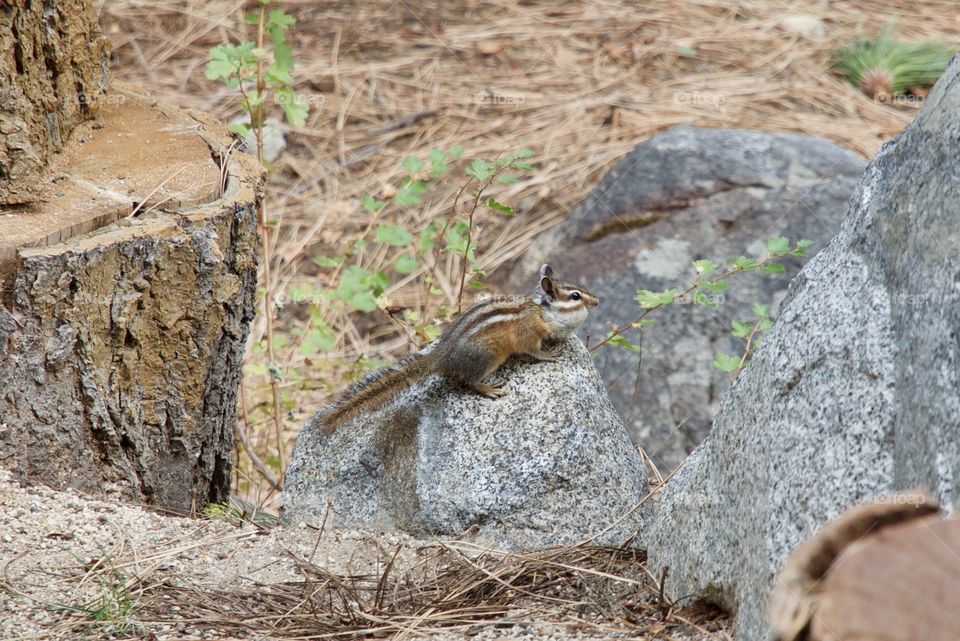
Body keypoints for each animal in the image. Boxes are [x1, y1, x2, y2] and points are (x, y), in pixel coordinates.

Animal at [320, 263, 599, 431]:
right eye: (575, 296)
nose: (596, 302)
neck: (540, 310)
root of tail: (439, 358)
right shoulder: (527, 334)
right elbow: (534, 351)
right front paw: (549, 354)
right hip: (487, 358)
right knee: (467, 381)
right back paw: (488, 389)